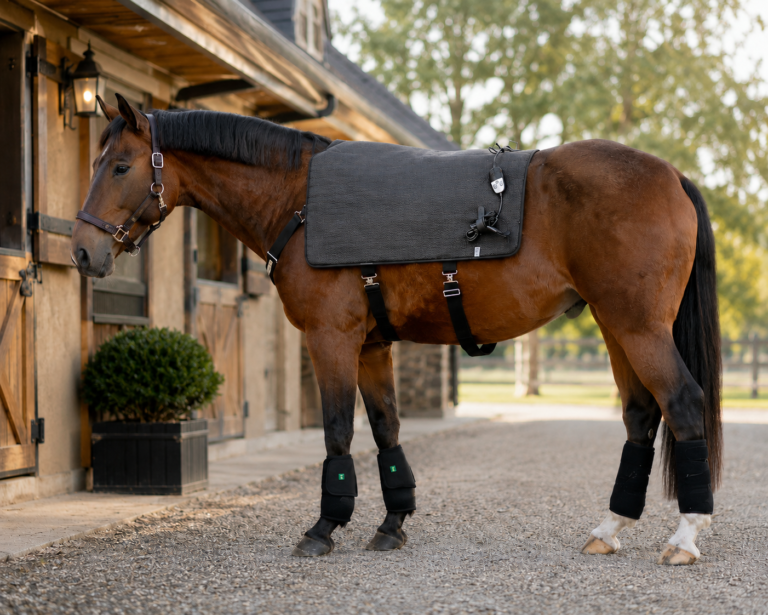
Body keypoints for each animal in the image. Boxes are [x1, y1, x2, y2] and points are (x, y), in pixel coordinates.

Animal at [71, 94, 721, 566]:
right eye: (96, 163)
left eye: (121, 166)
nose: (81, 251)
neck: (300, 202)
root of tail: (671, 175)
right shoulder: (372, 346)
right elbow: (386, 431)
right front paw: (391, 524)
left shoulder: (330, 338)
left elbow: (338, 432)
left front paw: (324, 527)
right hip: (616, 328)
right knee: (641, 416)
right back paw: (609, 528)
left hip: (638, 327)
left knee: (683, 403)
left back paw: (684, 538)